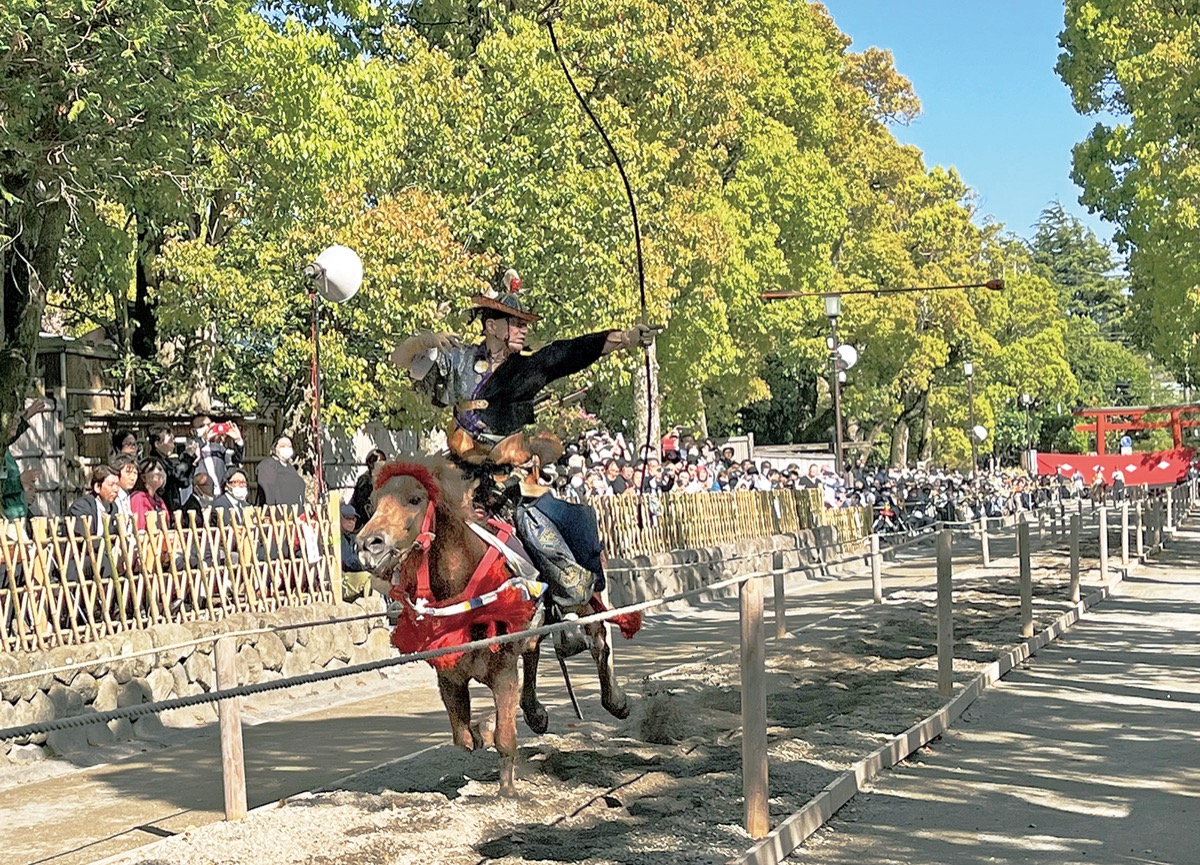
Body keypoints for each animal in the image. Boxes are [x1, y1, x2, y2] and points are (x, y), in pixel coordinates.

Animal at [355, 455, 633, 791]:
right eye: (371, 504)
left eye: (415, 499)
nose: (368, 545)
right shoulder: (450, 676)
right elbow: (463, 738)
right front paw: (486, 728)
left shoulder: (502, 671)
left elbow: (505, 738)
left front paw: (508, 789)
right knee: (534, 651)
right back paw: (535, 713)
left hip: (583, 594)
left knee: (598, 638)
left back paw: (615, 700)